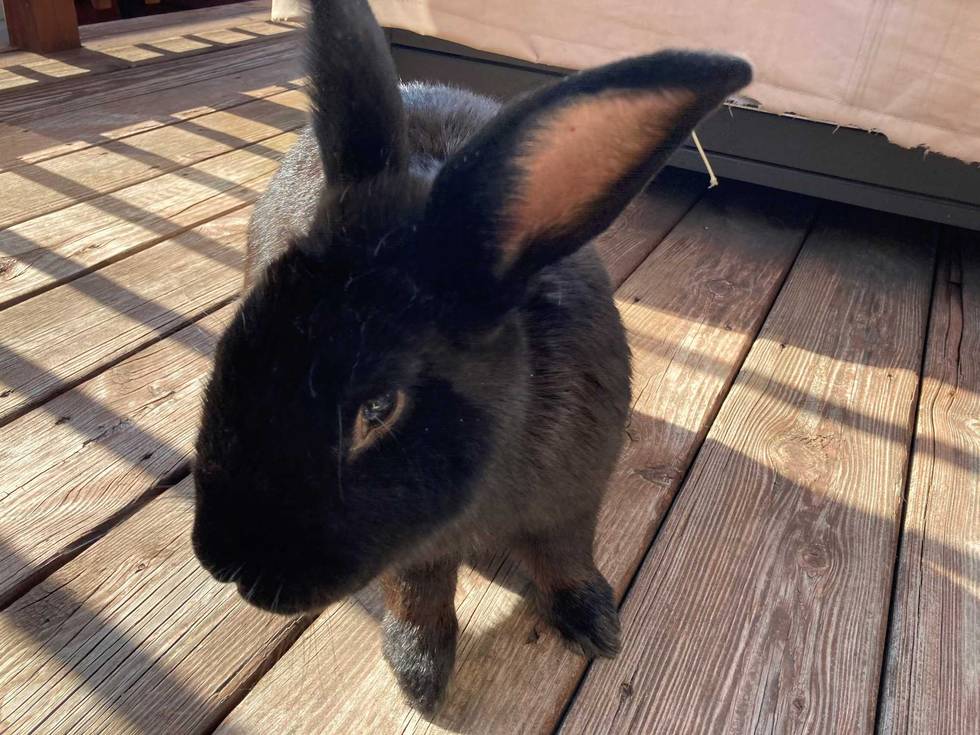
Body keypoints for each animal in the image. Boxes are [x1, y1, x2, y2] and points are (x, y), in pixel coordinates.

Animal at [191, 0, 751, 714]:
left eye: (379, 407)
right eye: (235, 343)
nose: (223, 562)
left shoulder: (572, 500)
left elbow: (567, 558)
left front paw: (596, 626)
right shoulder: (415, 547)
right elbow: (420, 598)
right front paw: (420, 679)